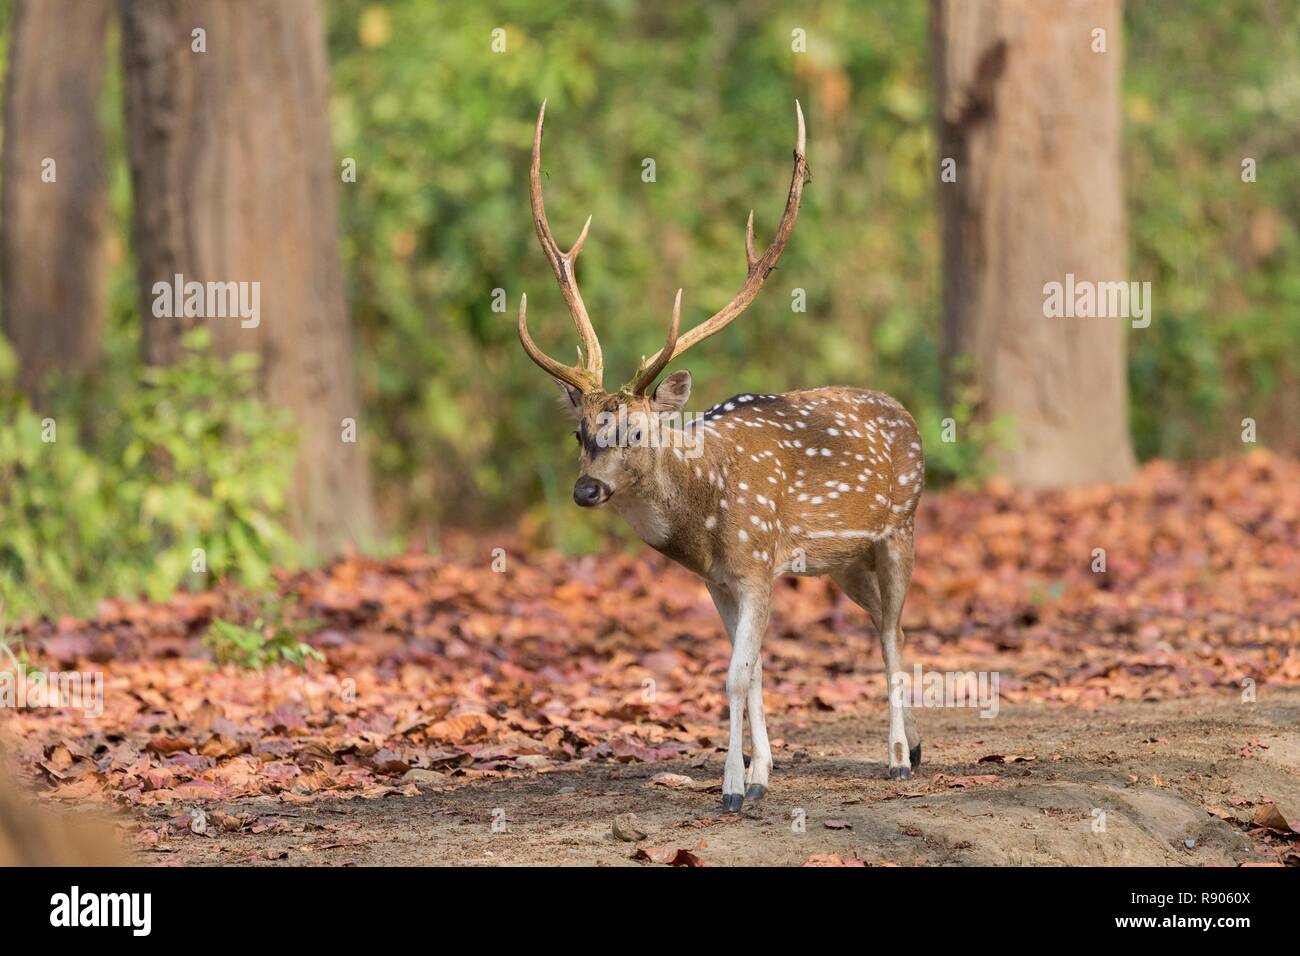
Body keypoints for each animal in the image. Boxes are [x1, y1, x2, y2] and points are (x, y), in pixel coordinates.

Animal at [517, 100, 925, 812]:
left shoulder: (757, 563)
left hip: (899, 528)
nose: (586, 490)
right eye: (580, 433)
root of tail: (907, 416)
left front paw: (733, 787)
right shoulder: (718, 579)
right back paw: (917, 747)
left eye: (636, 433)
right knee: (883, 621)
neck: (706, 518)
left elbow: (736, 675)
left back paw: (900, 757)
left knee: (892, 632)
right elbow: (752, 668)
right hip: (843, 562)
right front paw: (762, 774)